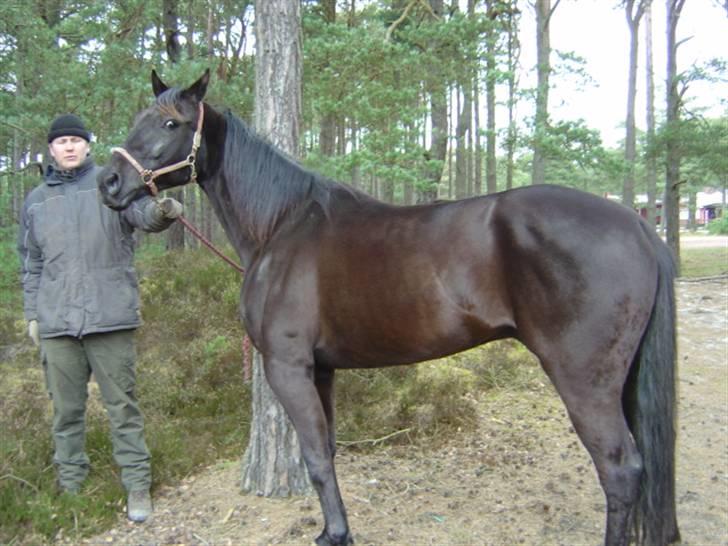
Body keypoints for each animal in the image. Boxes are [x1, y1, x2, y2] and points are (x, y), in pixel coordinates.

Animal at [98, 69, 684, 544]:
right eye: (137, 118)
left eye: (170, 123)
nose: (109, 182)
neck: (283, 226)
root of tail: (635, 224)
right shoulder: (322, 370)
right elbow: (328, 451)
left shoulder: (288, 367)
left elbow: (315, 457)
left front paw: (335, 536)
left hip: (584, 380)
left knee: (620, 469)